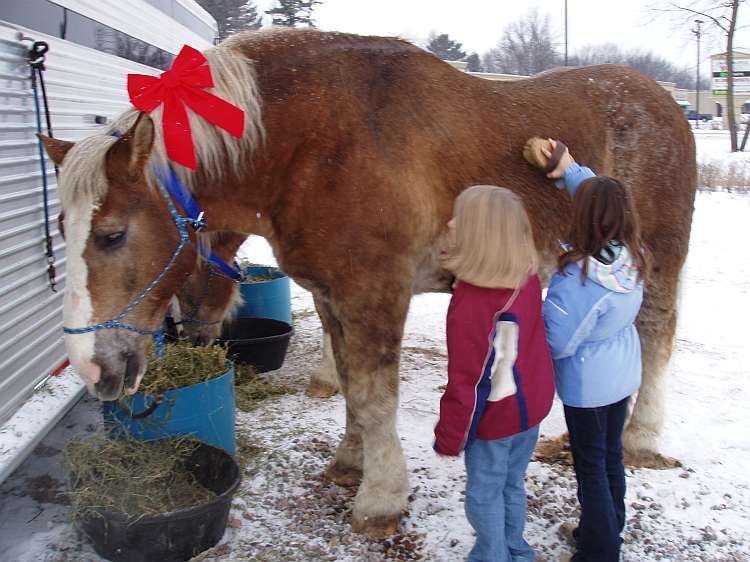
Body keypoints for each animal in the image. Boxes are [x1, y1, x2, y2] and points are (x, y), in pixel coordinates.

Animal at [42, 28, 700, 536]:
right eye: (63, 228)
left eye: (111, 235)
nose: (93, 367)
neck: (312, 141)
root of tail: (666, 104)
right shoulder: (332, 296)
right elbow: (354, 389)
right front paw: (349, 464)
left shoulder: (375, 294)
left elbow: (377, 394)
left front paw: (380, 500)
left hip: (658, 257)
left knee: (655, 337)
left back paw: (641, 439)